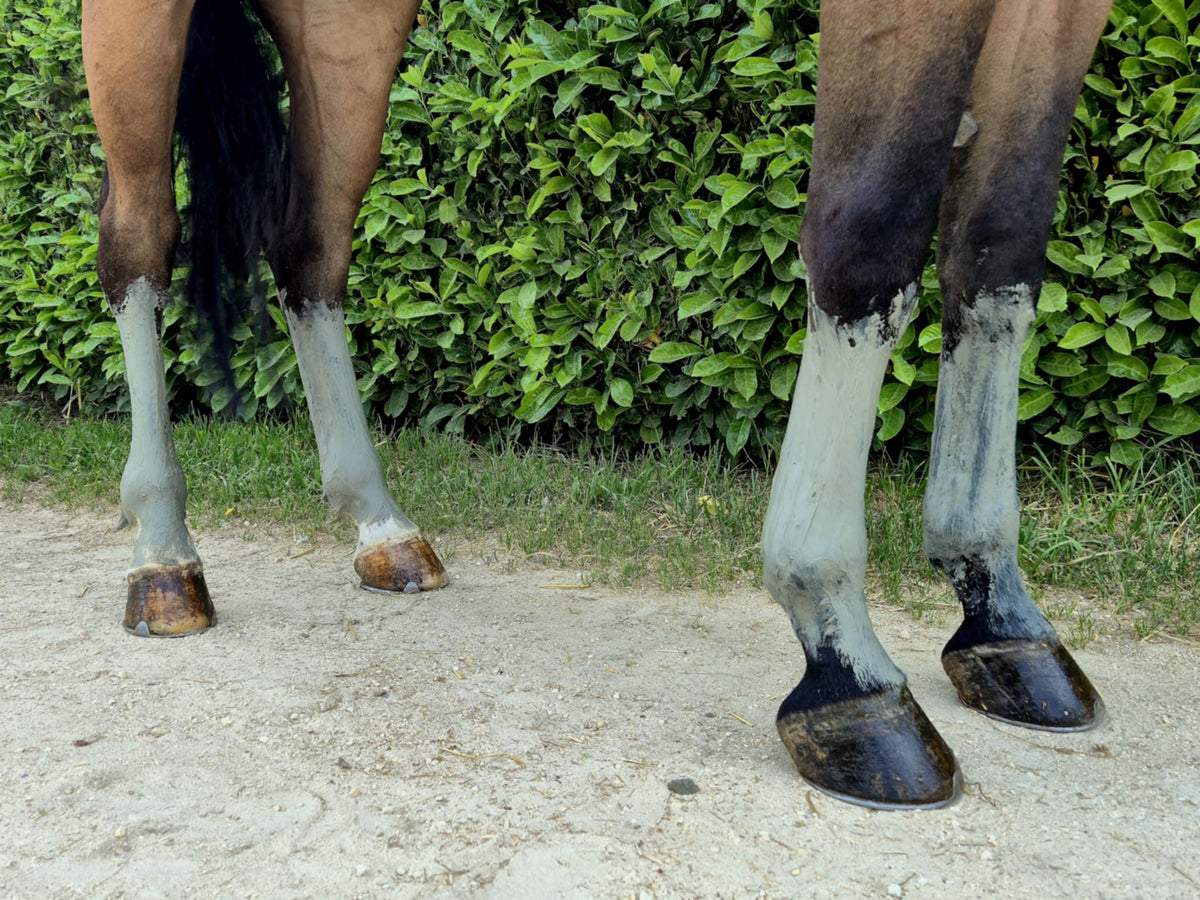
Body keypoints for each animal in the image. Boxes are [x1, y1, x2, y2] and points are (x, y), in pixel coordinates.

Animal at [82, 0, 1109, 810]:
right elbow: (870, 240)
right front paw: (843, 660)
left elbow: (1000, 255)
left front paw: (1001, 616)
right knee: (138, 242)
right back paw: (164, 560)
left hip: (345, 22)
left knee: (310, 252)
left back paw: (382, 528)